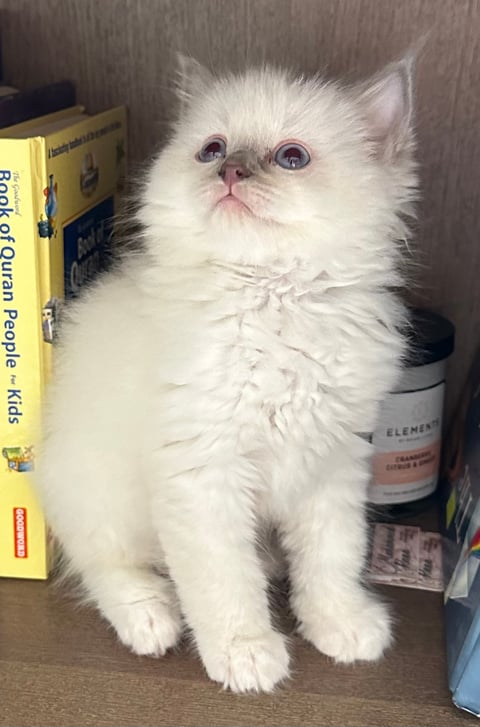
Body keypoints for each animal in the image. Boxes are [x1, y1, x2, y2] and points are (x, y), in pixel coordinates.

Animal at [36, 55, 416, 692]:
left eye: (292, 157)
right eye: (211, 149)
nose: (230, 171)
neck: (274, 300)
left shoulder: (332, 465)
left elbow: (331, 561)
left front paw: (340, 627)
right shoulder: (203, 475)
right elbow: (224, 584)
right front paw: (246, 655)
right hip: (102, 498)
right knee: (103, 567)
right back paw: (151, 618)